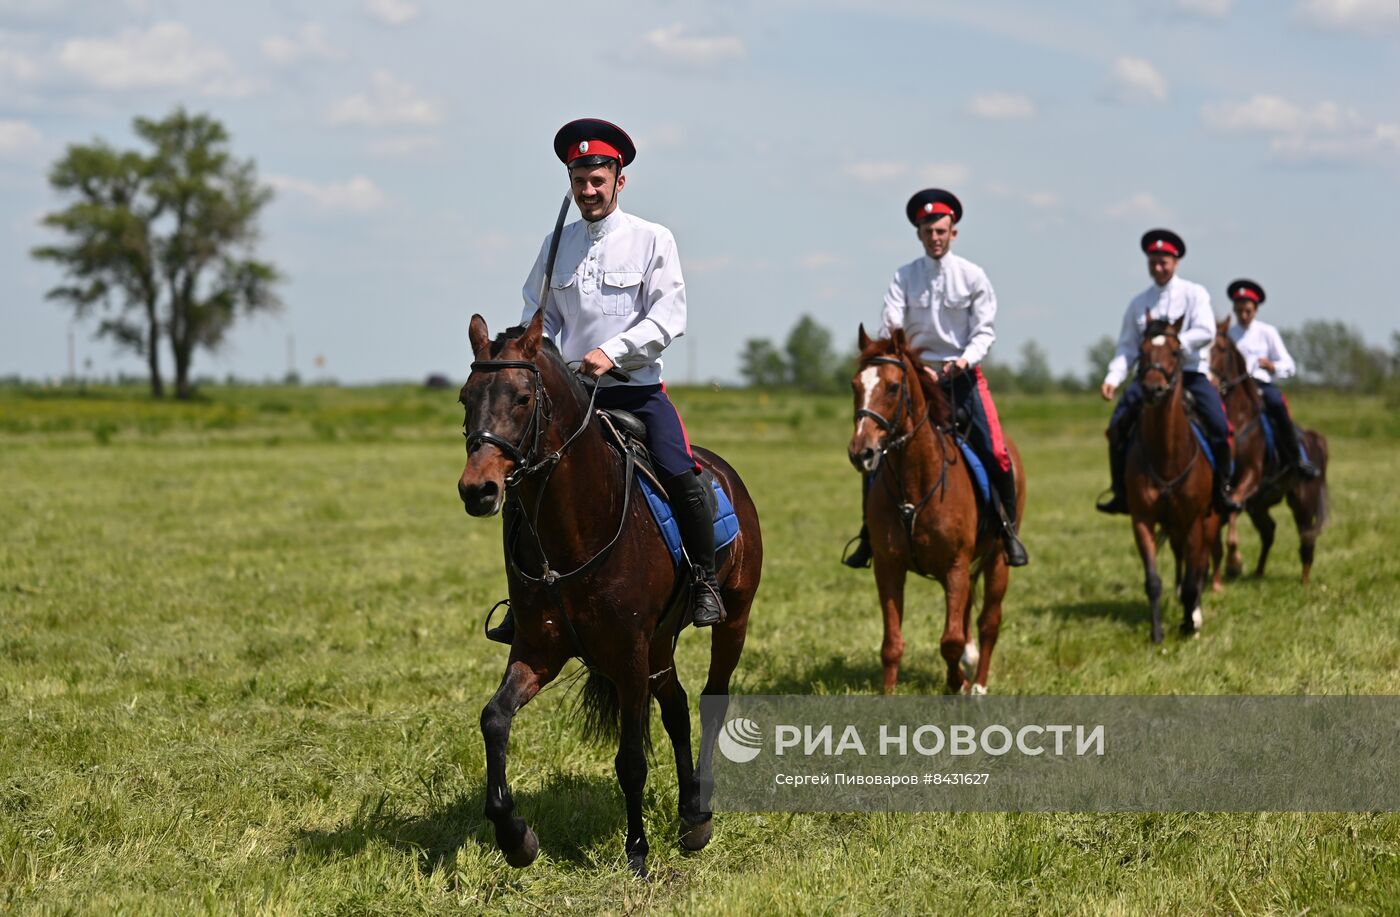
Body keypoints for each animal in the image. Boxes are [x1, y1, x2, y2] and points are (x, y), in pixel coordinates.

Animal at [456, 312, 767, 879]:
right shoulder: (540, 649)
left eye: (522, 397)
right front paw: (516, 838)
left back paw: (702, 811)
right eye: (466, 397)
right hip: (661, 643)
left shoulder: (628, 655)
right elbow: (494, 719)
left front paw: (637, 851)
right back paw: (690, 813)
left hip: (733, 618)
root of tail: (722, 472)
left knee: (710, 702)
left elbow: (631, 760)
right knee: (677, 708)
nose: (478, 490)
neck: (577, 525)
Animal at [845, 330, 1024, 697]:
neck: (916, 486)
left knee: (988, 622)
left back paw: (978, 684)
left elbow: (951, 641)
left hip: (996, 560)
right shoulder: (889, 567)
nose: (861, 452)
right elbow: (892, 643)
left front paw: (957, 683)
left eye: (893, 387)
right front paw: (888, 693)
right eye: (855, 385)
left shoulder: (955, 566)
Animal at [1120, 319, 1220, 641]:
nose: (1153, 388)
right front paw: (1157, 634)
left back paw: (1195, 614)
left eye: (1176, 352)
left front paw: (1189, 624)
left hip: (1208, 520)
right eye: (1142, 351)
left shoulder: (1193, 521)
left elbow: (1193, 578)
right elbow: (1153, 581)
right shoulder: (1143, 520)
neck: (1167, 456)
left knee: (1199, 564)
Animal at [1209, 319, 1327, 585]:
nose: (1209, 381)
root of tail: (1314, 438)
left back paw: (1304, 582)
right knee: (1269, 531)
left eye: (1221, 348)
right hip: (1260, 505)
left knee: (1306, 539)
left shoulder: (1249, 478)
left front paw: (1234, 563)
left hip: (1302, 502)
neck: (1238, 420)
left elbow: (1232, 512)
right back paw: (1258, 573)